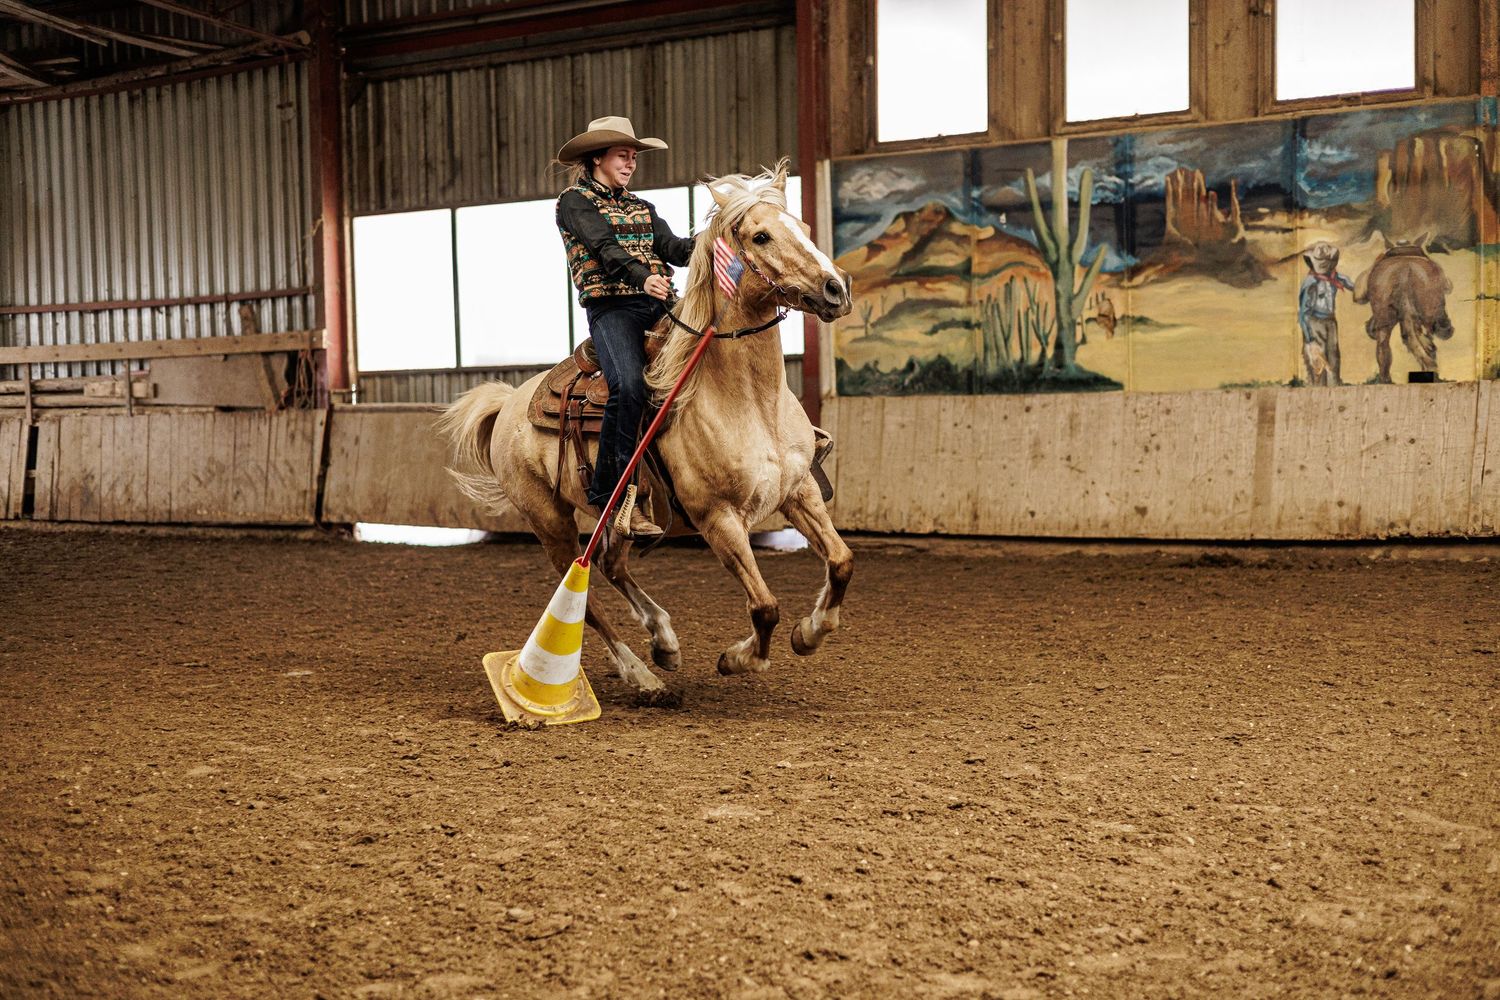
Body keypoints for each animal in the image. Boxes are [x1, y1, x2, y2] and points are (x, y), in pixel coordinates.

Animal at [437, 160, 855, 704]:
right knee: (585, 595)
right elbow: (764, 606)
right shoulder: (718, 518)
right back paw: (641, 674)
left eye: (803, 227)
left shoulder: (799, 492)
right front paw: (738, 659)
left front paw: (811, 632)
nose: (836, 289)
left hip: (618, 516)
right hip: (549, 521)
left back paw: (664, 642)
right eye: (760, 236)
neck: (747, 401)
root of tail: (509, 403)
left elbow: (841, 561)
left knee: (611, 565)